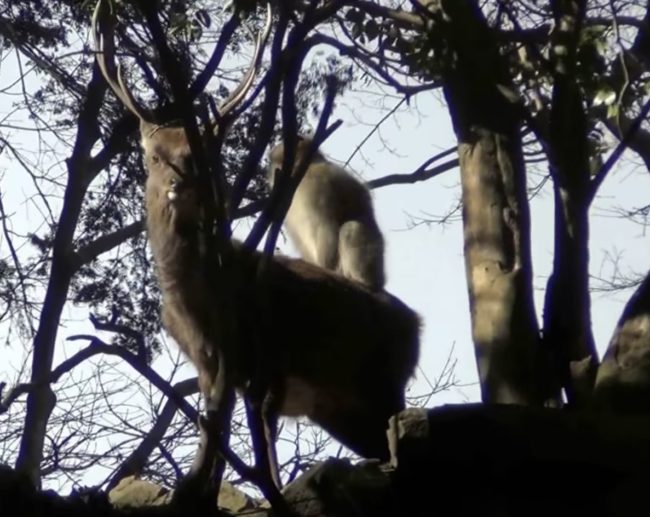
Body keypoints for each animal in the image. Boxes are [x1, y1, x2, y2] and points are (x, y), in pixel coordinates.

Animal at [267, 138, 386, 291]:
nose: (270, 171)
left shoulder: (318, 183)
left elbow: (326, 224)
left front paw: (324, 267)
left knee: (350, 228)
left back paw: (363, 280)